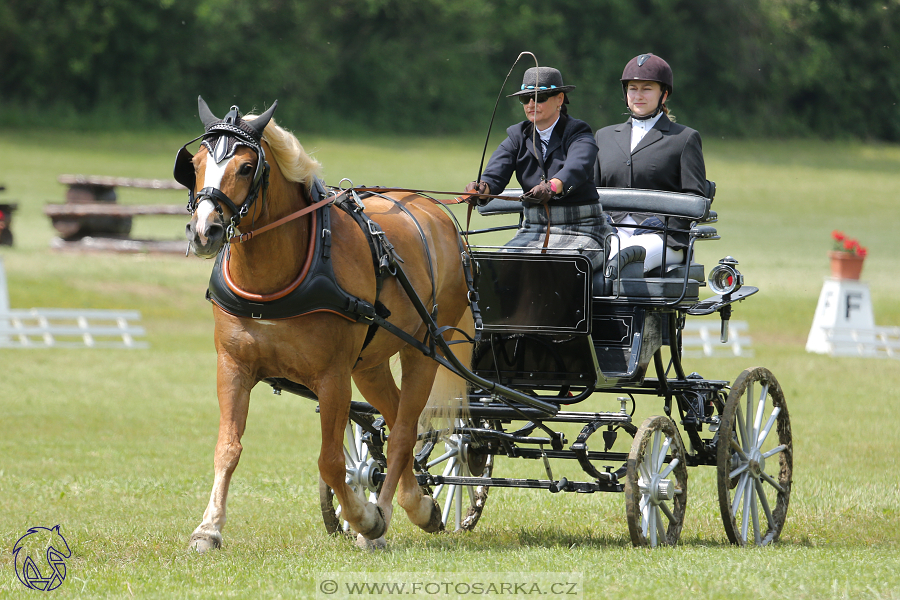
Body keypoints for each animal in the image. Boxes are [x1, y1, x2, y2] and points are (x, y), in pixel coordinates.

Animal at [178, 96, 472, 552]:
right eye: (194, 164)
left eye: (246, 167)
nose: (204, 231)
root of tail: (433, 210)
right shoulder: (233, 366)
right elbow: (227, 448)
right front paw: (208, 529)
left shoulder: (333, 377)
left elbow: (330, 460)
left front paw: (364, 517)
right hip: (369, 364)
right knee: (397, 420)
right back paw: (416, 504)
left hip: (423, 348)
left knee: (406, 429)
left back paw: (383, 516)